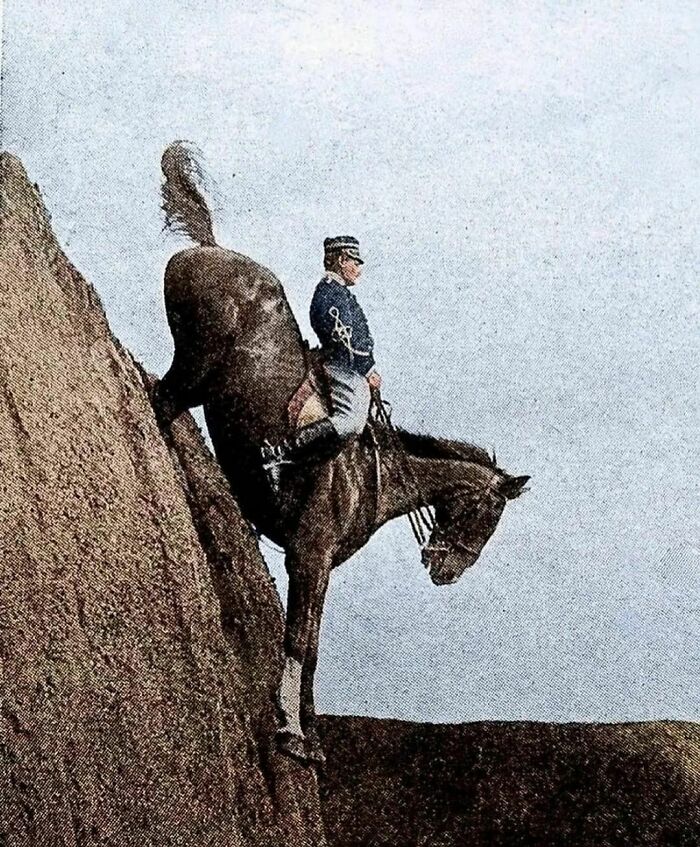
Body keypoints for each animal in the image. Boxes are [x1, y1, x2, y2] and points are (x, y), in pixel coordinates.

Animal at [150, 142, 528, 764]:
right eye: (489, 515)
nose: (448, 571)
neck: (371, 472)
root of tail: (210, 248)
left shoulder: (321, 565)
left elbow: (313, 648)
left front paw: (309, 733)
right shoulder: (308, 554)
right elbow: (299, 638)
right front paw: (289, 731)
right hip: (196, 363)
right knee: (161, 398)